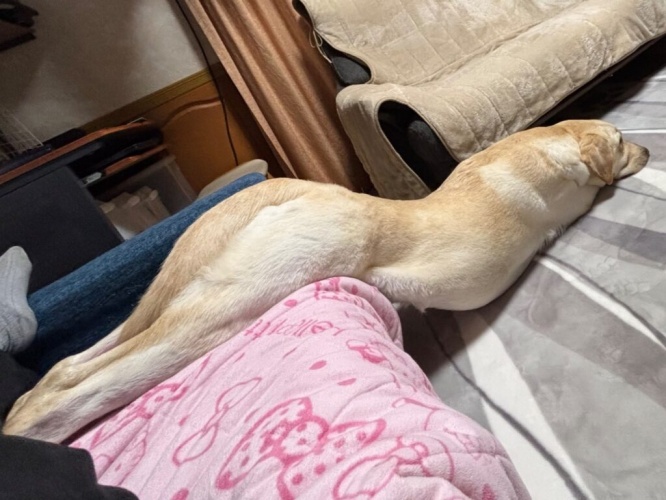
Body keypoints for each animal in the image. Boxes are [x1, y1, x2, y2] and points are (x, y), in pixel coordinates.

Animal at [3, 119, 649, 443]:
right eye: (622, 140)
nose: (646, 149)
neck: (540, 142)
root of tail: (283, 188)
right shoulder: (571, 195)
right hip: (245, 297)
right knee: (79, 387)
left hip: (169, 302)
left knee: (66, 364)